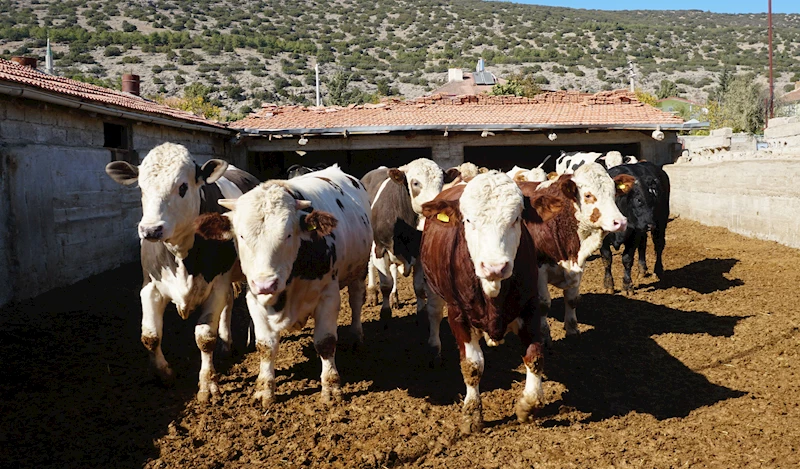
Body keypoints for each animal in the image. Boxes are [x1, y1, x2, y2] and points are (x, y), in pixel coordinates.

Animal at [104, 143, 258, 402]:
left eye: (183, 186)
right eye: (141, 188)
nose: (151, 230)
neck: (181, 254)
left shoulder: (216, 285)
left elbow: (205, 338)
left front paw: (207, 385)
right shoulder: (150, 287)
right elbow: (150, 336)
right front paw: (163, 374)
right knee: (229, 302)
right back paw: (226, 344)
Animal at [195, 165, 374, 406]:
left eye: (288, 234)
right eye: (240, 236)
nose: (266, 284)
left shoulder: (328, 296)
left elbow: (326, 342)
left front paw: (331, 387)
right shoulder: (254, 299)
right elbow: (265, 346)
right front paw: (265, 389)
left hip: (360, 269)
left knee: (356, 300)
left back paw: (356, 336)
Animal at [422, 170, 560, 434]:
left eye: (516, 219)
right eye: (468, 221)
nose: (495, 267)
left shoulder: (529, 307)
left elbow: (534, 357)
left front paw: (527, 405)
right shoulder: (458, 315)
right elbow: (473, 366)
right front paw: (472, 414)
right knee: (433, 313)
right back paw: (434, 349)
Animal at [600, 162, 668, 292]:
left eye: (654, 200)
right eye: (638, 200)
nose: (650, 225)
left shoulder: (634, 234)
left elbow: (627, 259)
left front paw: (627, 286)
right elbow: (606, 259)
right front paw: (608, 285)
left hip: (661, 222)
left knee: (659, 245)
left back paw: (658, 270)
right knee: (643, 244)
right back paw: (642, 270)